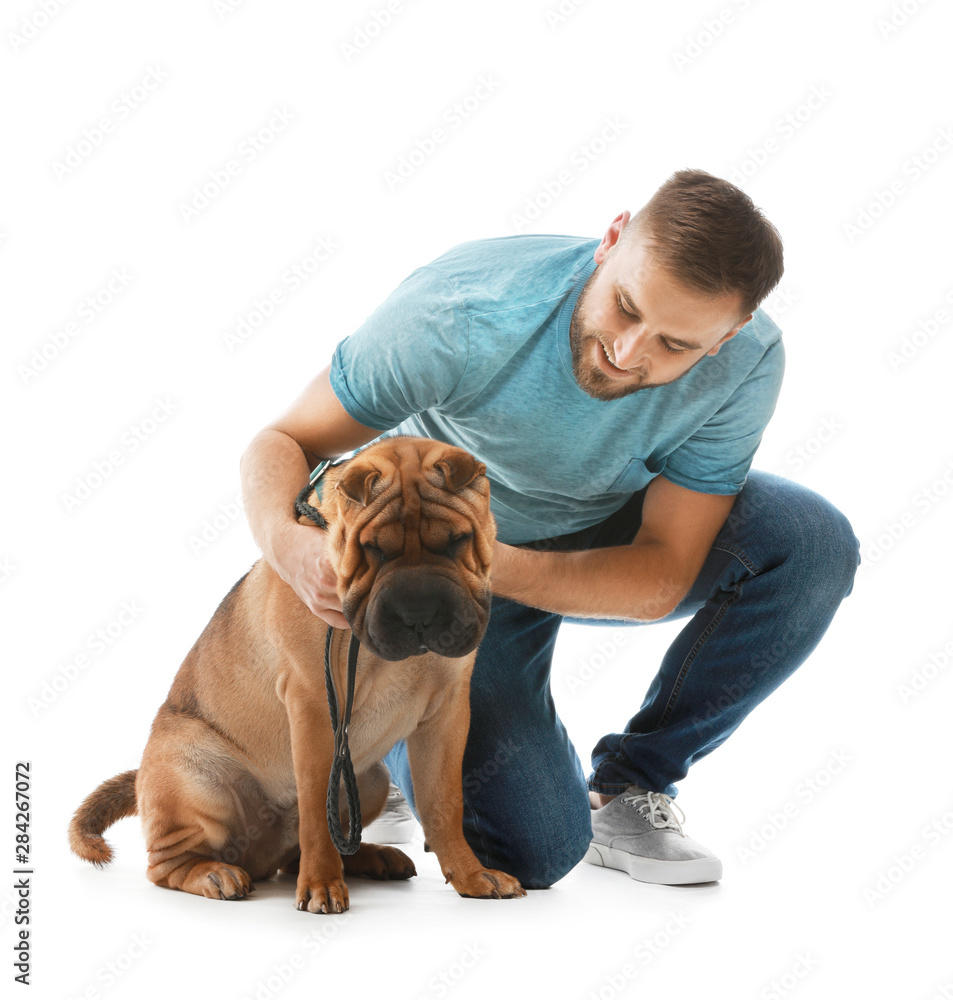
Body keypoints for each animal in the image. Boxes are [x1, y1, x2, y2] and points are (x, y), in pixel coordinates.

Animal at [69, 434, 528, 912]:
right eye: (374, 549)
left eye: (457, 542)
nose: (417, 613)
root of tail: (257, 855)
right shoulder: (314, 704)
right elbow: (315, 811)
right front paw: (323, 885)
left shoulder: (447, 713)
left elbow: (444, 803)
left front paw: (472, 875)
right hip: (195, 777)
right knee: (167, 863)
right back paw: (215, 874)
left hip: (371, 779)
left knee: (299, 854)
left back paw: (373, 857)